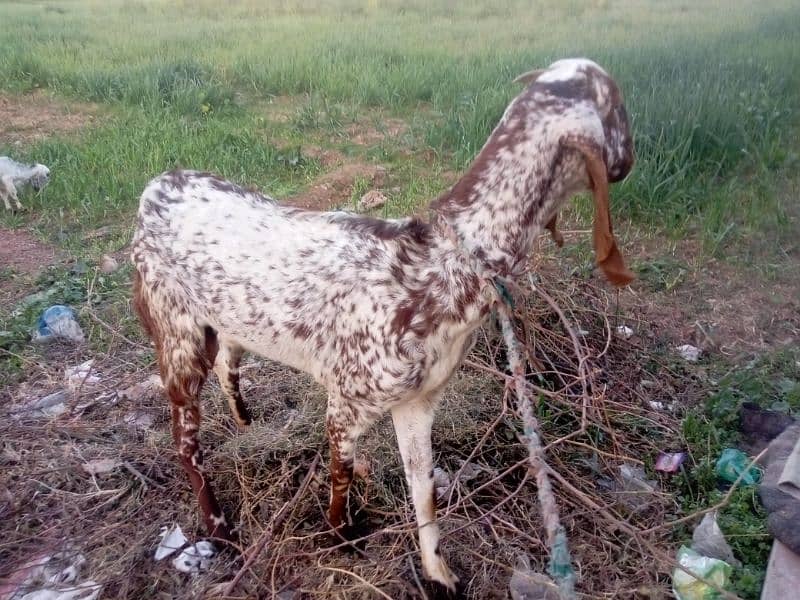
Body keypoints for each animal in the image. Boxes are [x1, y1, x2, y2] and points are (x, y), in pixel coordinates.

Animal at [131, 58, 636, 592]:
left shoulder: (418, 402)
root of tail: (155, 186)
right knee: (185, 441)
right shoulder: (346, 404)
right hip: (179, 335)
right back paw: (219, 528)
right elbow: (341, 475)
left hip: (229, 322)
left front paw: (438, 571)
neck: (442, 262)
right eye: (619, 108)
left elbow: (423, 487)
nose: (632, 157)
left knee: (231, 362)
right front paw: (340, 536)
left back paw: (246, 423)